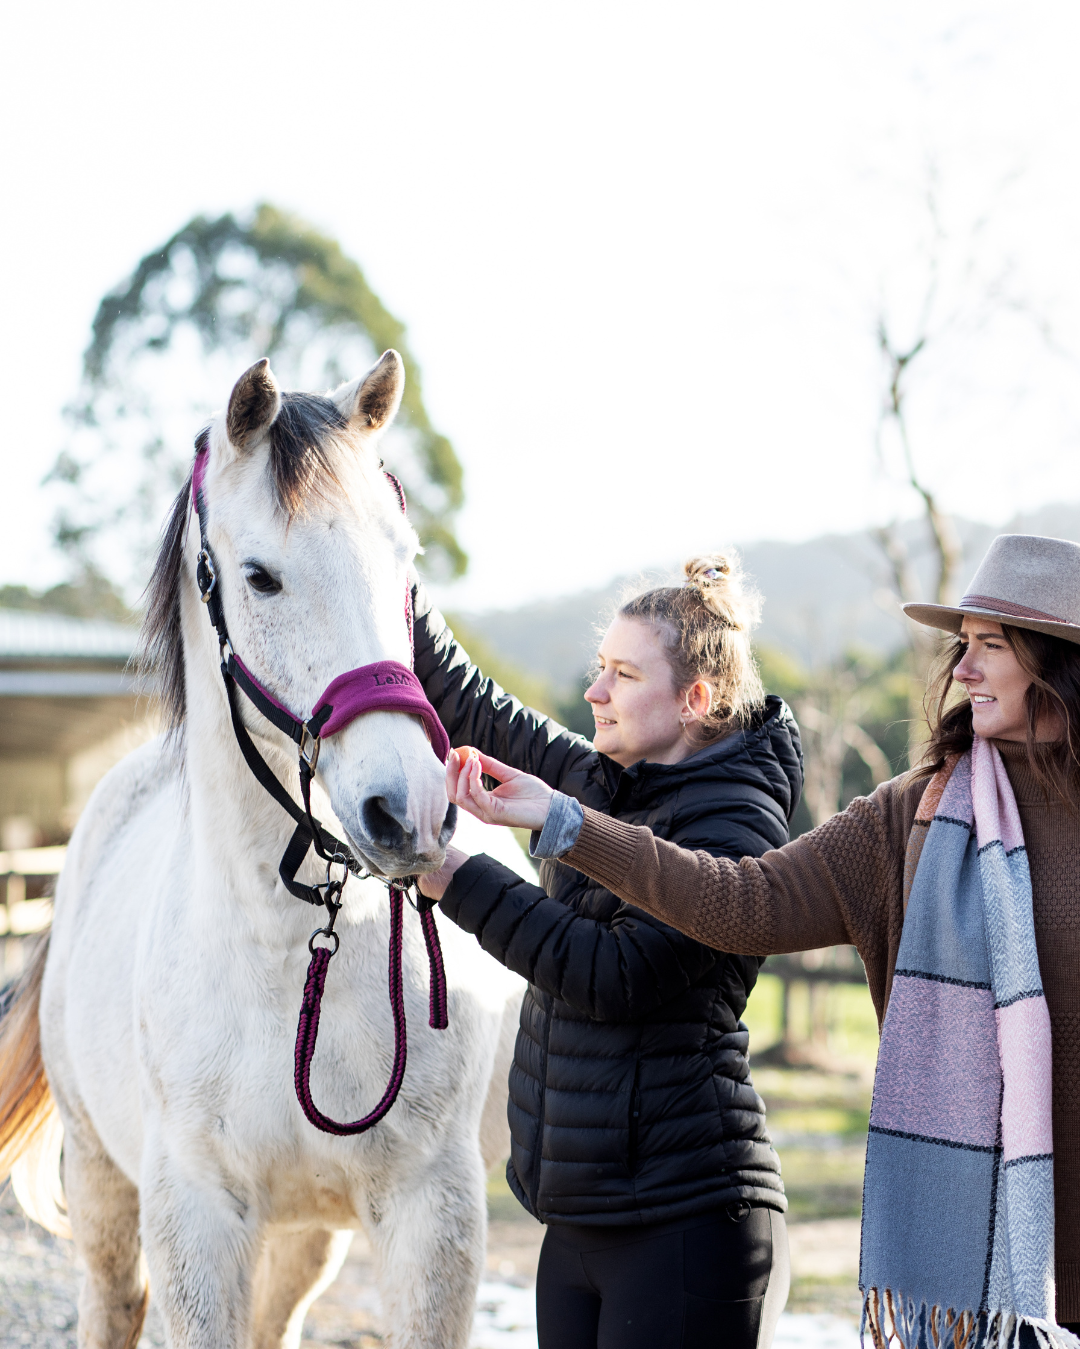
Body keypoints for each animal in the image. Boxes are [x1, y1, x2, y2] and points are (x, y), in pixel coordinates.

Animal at [0, 352, 526, 1348]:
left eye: (405, 563)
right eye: (261, 577)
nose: (410, 810)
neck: (291, 955)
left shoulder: (431, 1216)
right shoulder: (194, 1217)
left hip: (305, 1235)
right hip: (102, 1183)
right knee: (109, 1301)